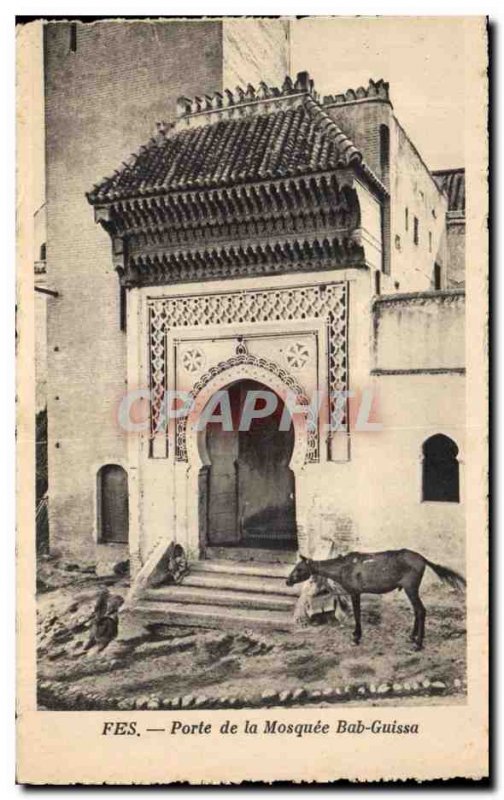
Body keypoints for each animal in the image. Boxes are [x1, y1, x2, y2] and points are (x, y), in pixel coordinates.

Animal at [286, 552, 466, 648]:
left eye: (299, 568)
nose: (287, 581)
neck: (343, 567)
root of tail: (423, 559)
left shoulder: (355, 592)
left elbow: (357, 614)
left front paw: (356, 637)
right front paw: (356, 635)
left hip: (411, 588)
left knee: (421, 610)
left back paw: (418, 643)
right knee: (417, 611)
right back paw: (412, 636)